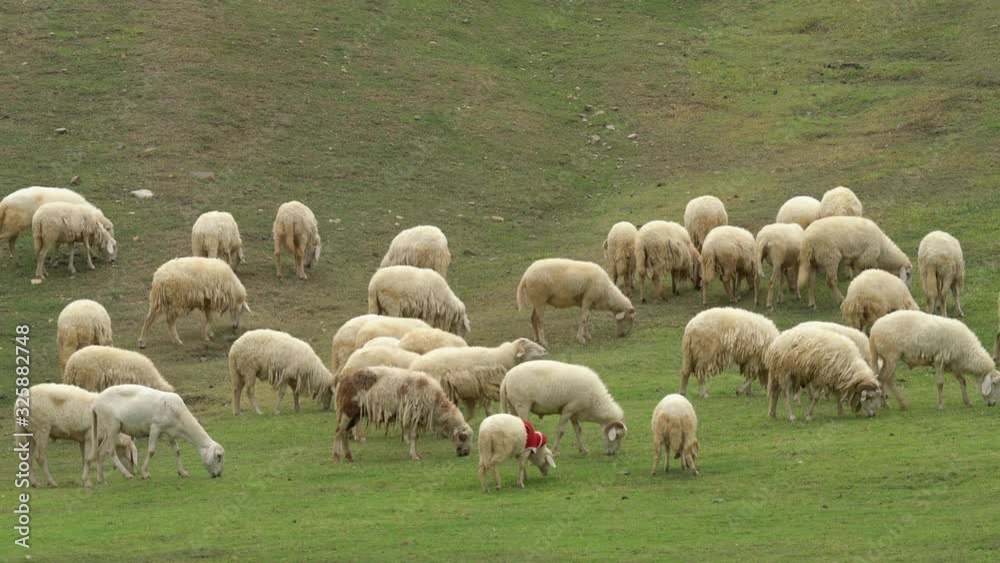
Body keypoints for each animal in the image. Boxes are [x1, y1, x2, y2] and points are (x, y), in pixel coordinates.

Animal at [91, 384, 225, 480]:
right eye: (218, 457)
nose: (218, 475)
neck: (180, 418)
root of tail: (96, 403)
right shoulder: (155, 427)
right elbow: (151, 451)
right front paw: (145, 473)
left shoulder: (170, 433)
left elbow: (177, 451)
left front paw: (182, 472)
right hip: (113, 426)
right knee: (110, 450)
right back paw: (127, 475)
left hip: (109, 430)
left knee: (100, 451)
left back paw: (101, 480)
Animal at [333, 367, 473, 462]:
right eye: (463, 437)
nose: (466, 453)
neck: (436, 404)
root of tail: (343, 379)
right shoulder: (413, 415)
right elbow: (413, 437)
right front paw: (414, 456)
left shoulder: (415, 417)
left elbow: (414, 437)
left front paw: (416, 454)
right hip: (347, 411)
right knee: (338, 432)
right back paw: (336, 457)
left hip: (355, 415)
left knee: (344, 433)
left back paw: (348, 456)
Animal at [409, 338, 547, 421]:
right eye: (530, 347)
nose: (545, 350)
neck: (502, 357)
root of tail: (413, 366)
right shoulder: (486, 386)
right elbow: (488, 408)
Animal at [869, 310, 1000, 410]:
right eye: (995, 383)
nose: (993, 404)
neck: (967, 352)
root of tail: (873, 330)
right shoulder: (939, 360)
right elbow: (940, 383)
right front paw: (940, 405)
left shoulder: (954, 363)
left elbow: (962, 381)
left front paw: (967, 402)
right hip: (891, 356)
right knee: (887, 378)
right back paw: (902, 403)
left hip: (885, 358)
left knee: (881, 378)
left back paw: (884, 404)